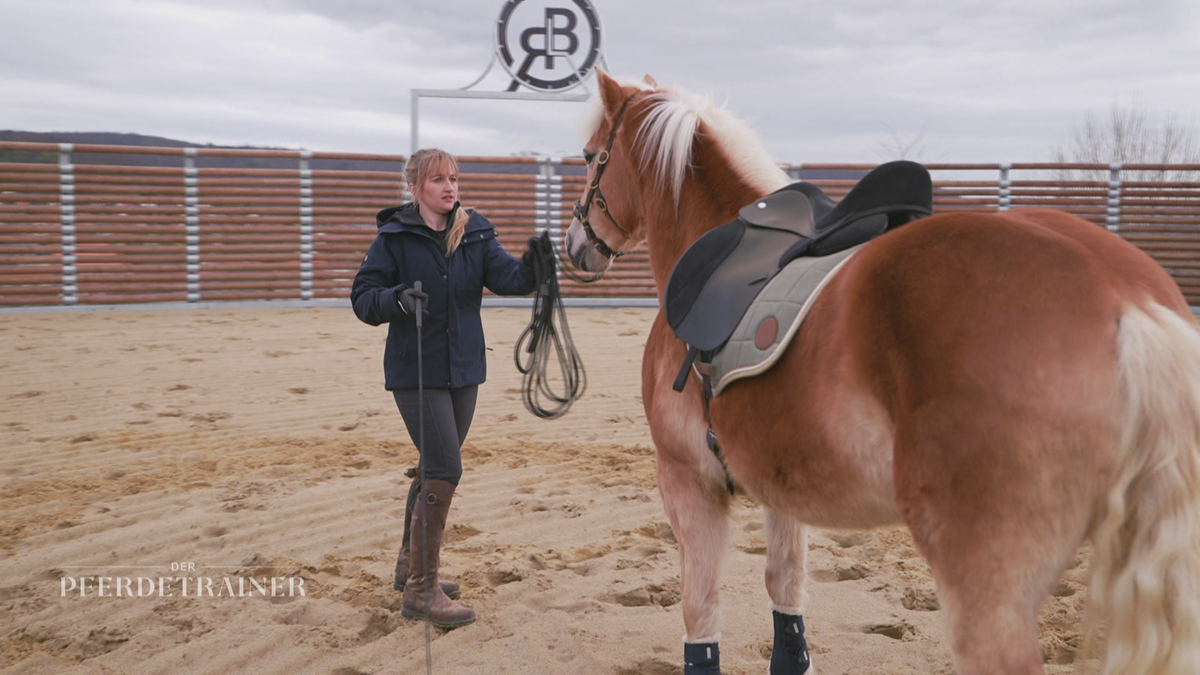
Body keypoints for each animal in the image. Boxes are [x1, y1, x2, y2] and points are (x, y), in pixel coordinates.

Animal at [561, 69, 1200, 672]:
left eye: (591, 156)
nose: (574, 245)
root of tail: (1120, 293)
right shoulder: (779, 487)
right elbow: (786, 596)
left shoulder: (686, 481)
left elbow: (701, 612)